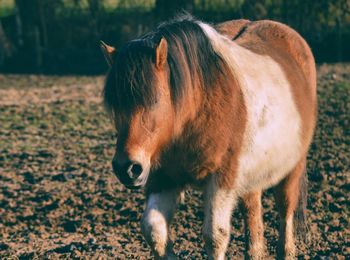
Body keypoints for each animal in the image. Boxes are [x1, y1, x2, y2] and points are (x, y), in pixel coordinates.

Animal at [100, 14, 318, 260]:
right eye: (113, 105)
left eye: (154, 100)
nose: (126, 168)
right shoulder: (164, 178)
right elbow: (154, 231)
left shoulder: (222, 179)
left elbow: (215, 236)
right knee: (253, 213)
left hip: (292, 168)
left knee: (285, 211)